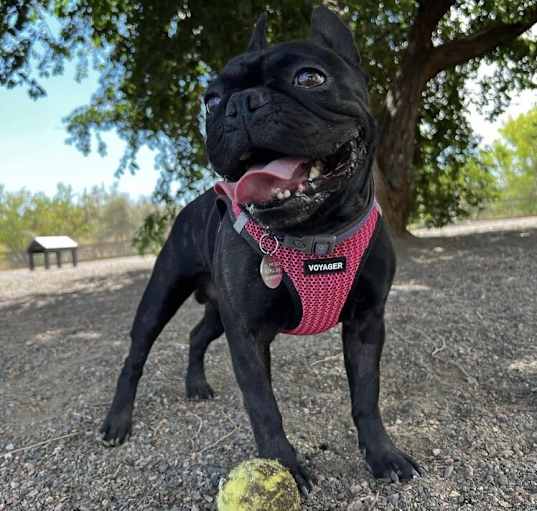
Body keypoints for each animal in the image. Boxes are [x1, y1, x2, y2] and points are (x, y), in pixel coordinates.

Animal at [99, 6, 418, 494]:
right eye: (211, 100)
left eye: (310, 77)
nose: (240, 103)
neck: (317, 233)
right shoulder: (247, 335)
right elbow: (264, 407)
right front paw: (283, 466)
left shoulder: (366, 324)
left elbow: (367, 396)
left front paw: (383, 455)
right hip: (162, 295)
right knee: (135, 356)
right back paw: (118, 421)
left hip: (218, 311)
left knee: (197, 335)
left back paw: (195, 385)